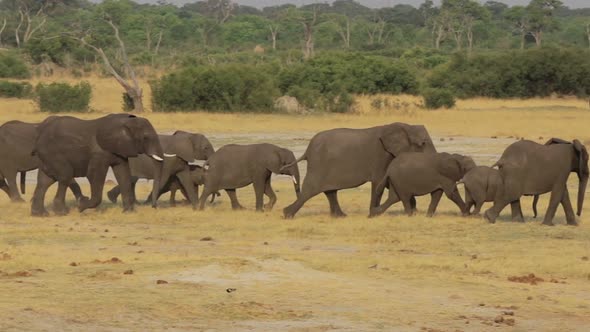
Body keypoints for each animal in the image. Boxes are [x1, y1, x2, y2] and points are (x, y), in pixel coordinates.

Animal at [31, 113, 163, 217]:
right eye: (146, 138)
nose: (154, 207)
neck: (125, 122)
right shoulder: (99, 152)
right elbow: (94, 175)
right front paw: (81, 206)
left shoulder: (120, 150)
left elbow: (123, 174)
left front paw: (129, 213)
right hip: (53, 154)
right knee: (65, 176)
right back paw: (61, 212)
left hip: (46, 156)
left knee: (45, 181)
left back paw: (40, 214)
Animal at [284, 123, 438, 219]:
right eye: (423, 144)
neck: (406, 126)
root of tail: (307, 150)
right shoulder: (381, 156)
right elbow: (379, 183)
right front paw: (372, 214)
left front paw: (414, 211)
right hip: (319, 165)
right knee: (311, 190)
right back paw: (287, 214)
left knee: (330, 191)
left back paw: (340, 216)